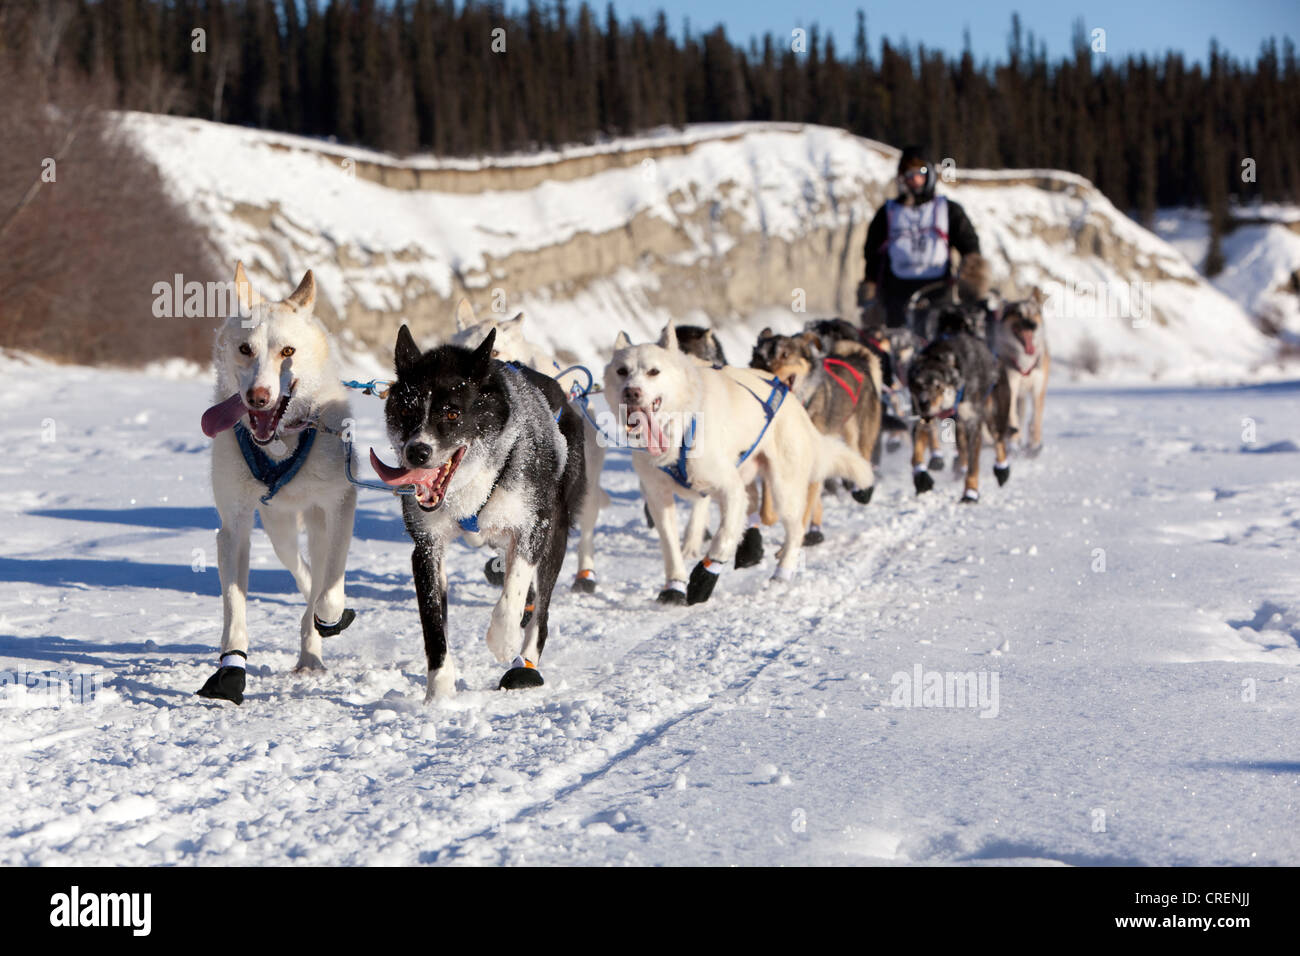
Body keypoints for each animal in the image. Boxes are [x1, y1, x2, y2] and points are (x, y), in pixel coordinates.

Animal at [195, 265, 356, 707]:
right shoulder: (234, 525)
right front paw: (231, 671)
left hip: (316, 523)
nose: (259, 397)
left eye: (287, 352)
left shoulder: (341, 502)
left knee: (319, 577)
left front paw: (330, 617)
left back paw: (313, 651)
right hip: (278, 527)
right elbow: (235, 607)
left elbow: (330, 590)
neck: (282, 442)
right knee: (301, 571)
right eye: (245, 349)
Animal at [371, 325, 585, 697]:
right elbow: (433, 624)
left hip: (555, 536)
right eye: (407, 411)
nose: (417, 452)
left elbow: (514, 589)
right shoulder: (427, 546)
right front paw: (440, 691)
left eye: (452, 413)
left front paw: (503, 639)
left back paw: (526, 663)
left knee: (540, 611)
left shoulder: (535, 526)